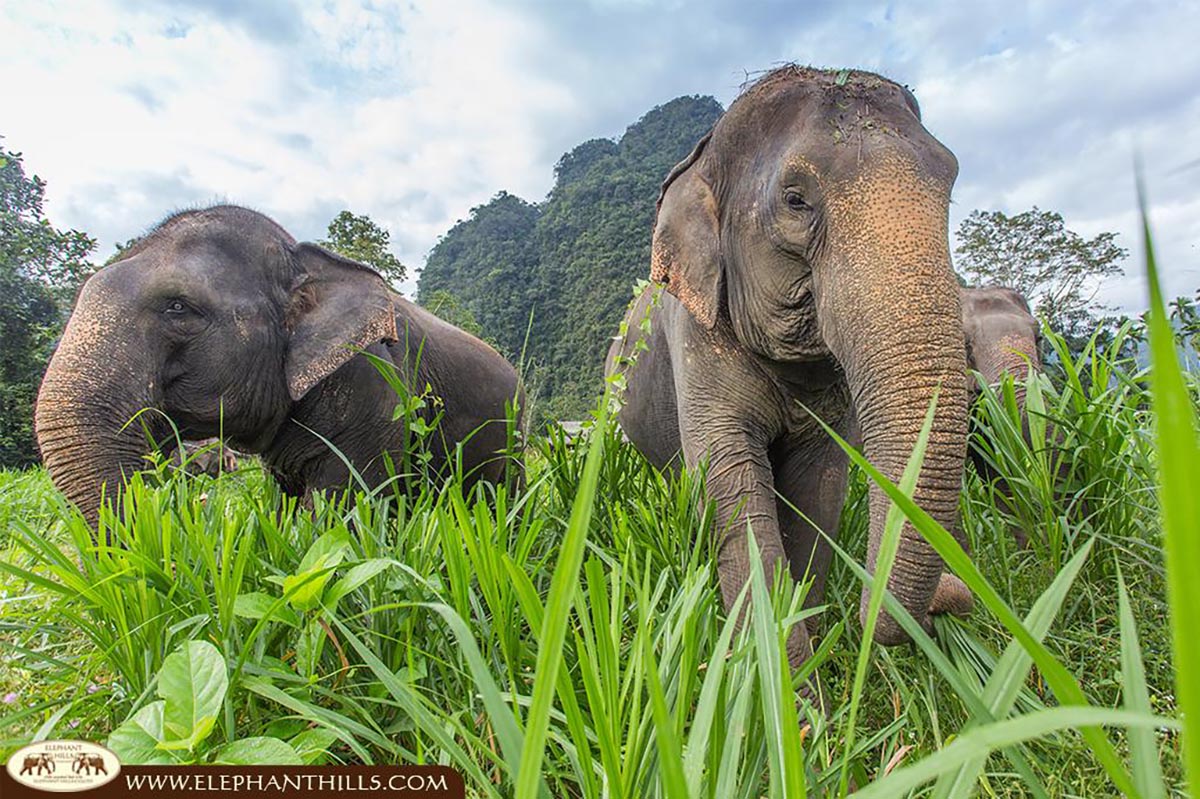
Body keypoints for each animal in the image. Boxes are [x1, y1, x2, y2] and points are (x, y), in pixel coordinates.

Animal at [605, 66, 974, 680]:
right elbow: (731, 487)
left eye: (949, 184)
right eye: (796, 200)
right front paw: (787, 690)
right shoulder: (696, 338)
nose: (952, 597)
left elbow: (819, 489)